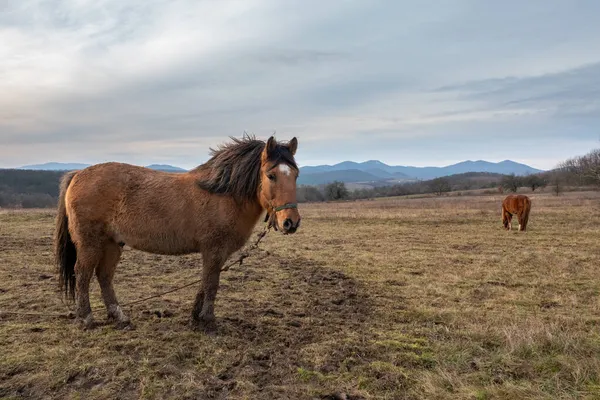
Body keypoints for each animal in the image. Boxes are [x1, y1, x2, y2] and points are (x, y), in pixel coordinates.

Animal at [53, 136, 300, 332]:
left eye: (296, 175)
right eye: (271, 175)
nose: (291, 222)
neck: (223, 194)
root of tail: (78, 175)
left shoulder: (214, 253)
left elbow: (205, 281)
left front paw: (195, 318)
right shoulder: (214, 249)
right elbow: (211, 283)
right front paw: (208, 321)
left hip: (112, 244)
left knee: (104, 276)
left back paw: (120, 317)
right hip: (91, 243)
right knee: (83, 274)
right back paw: (86, 319)